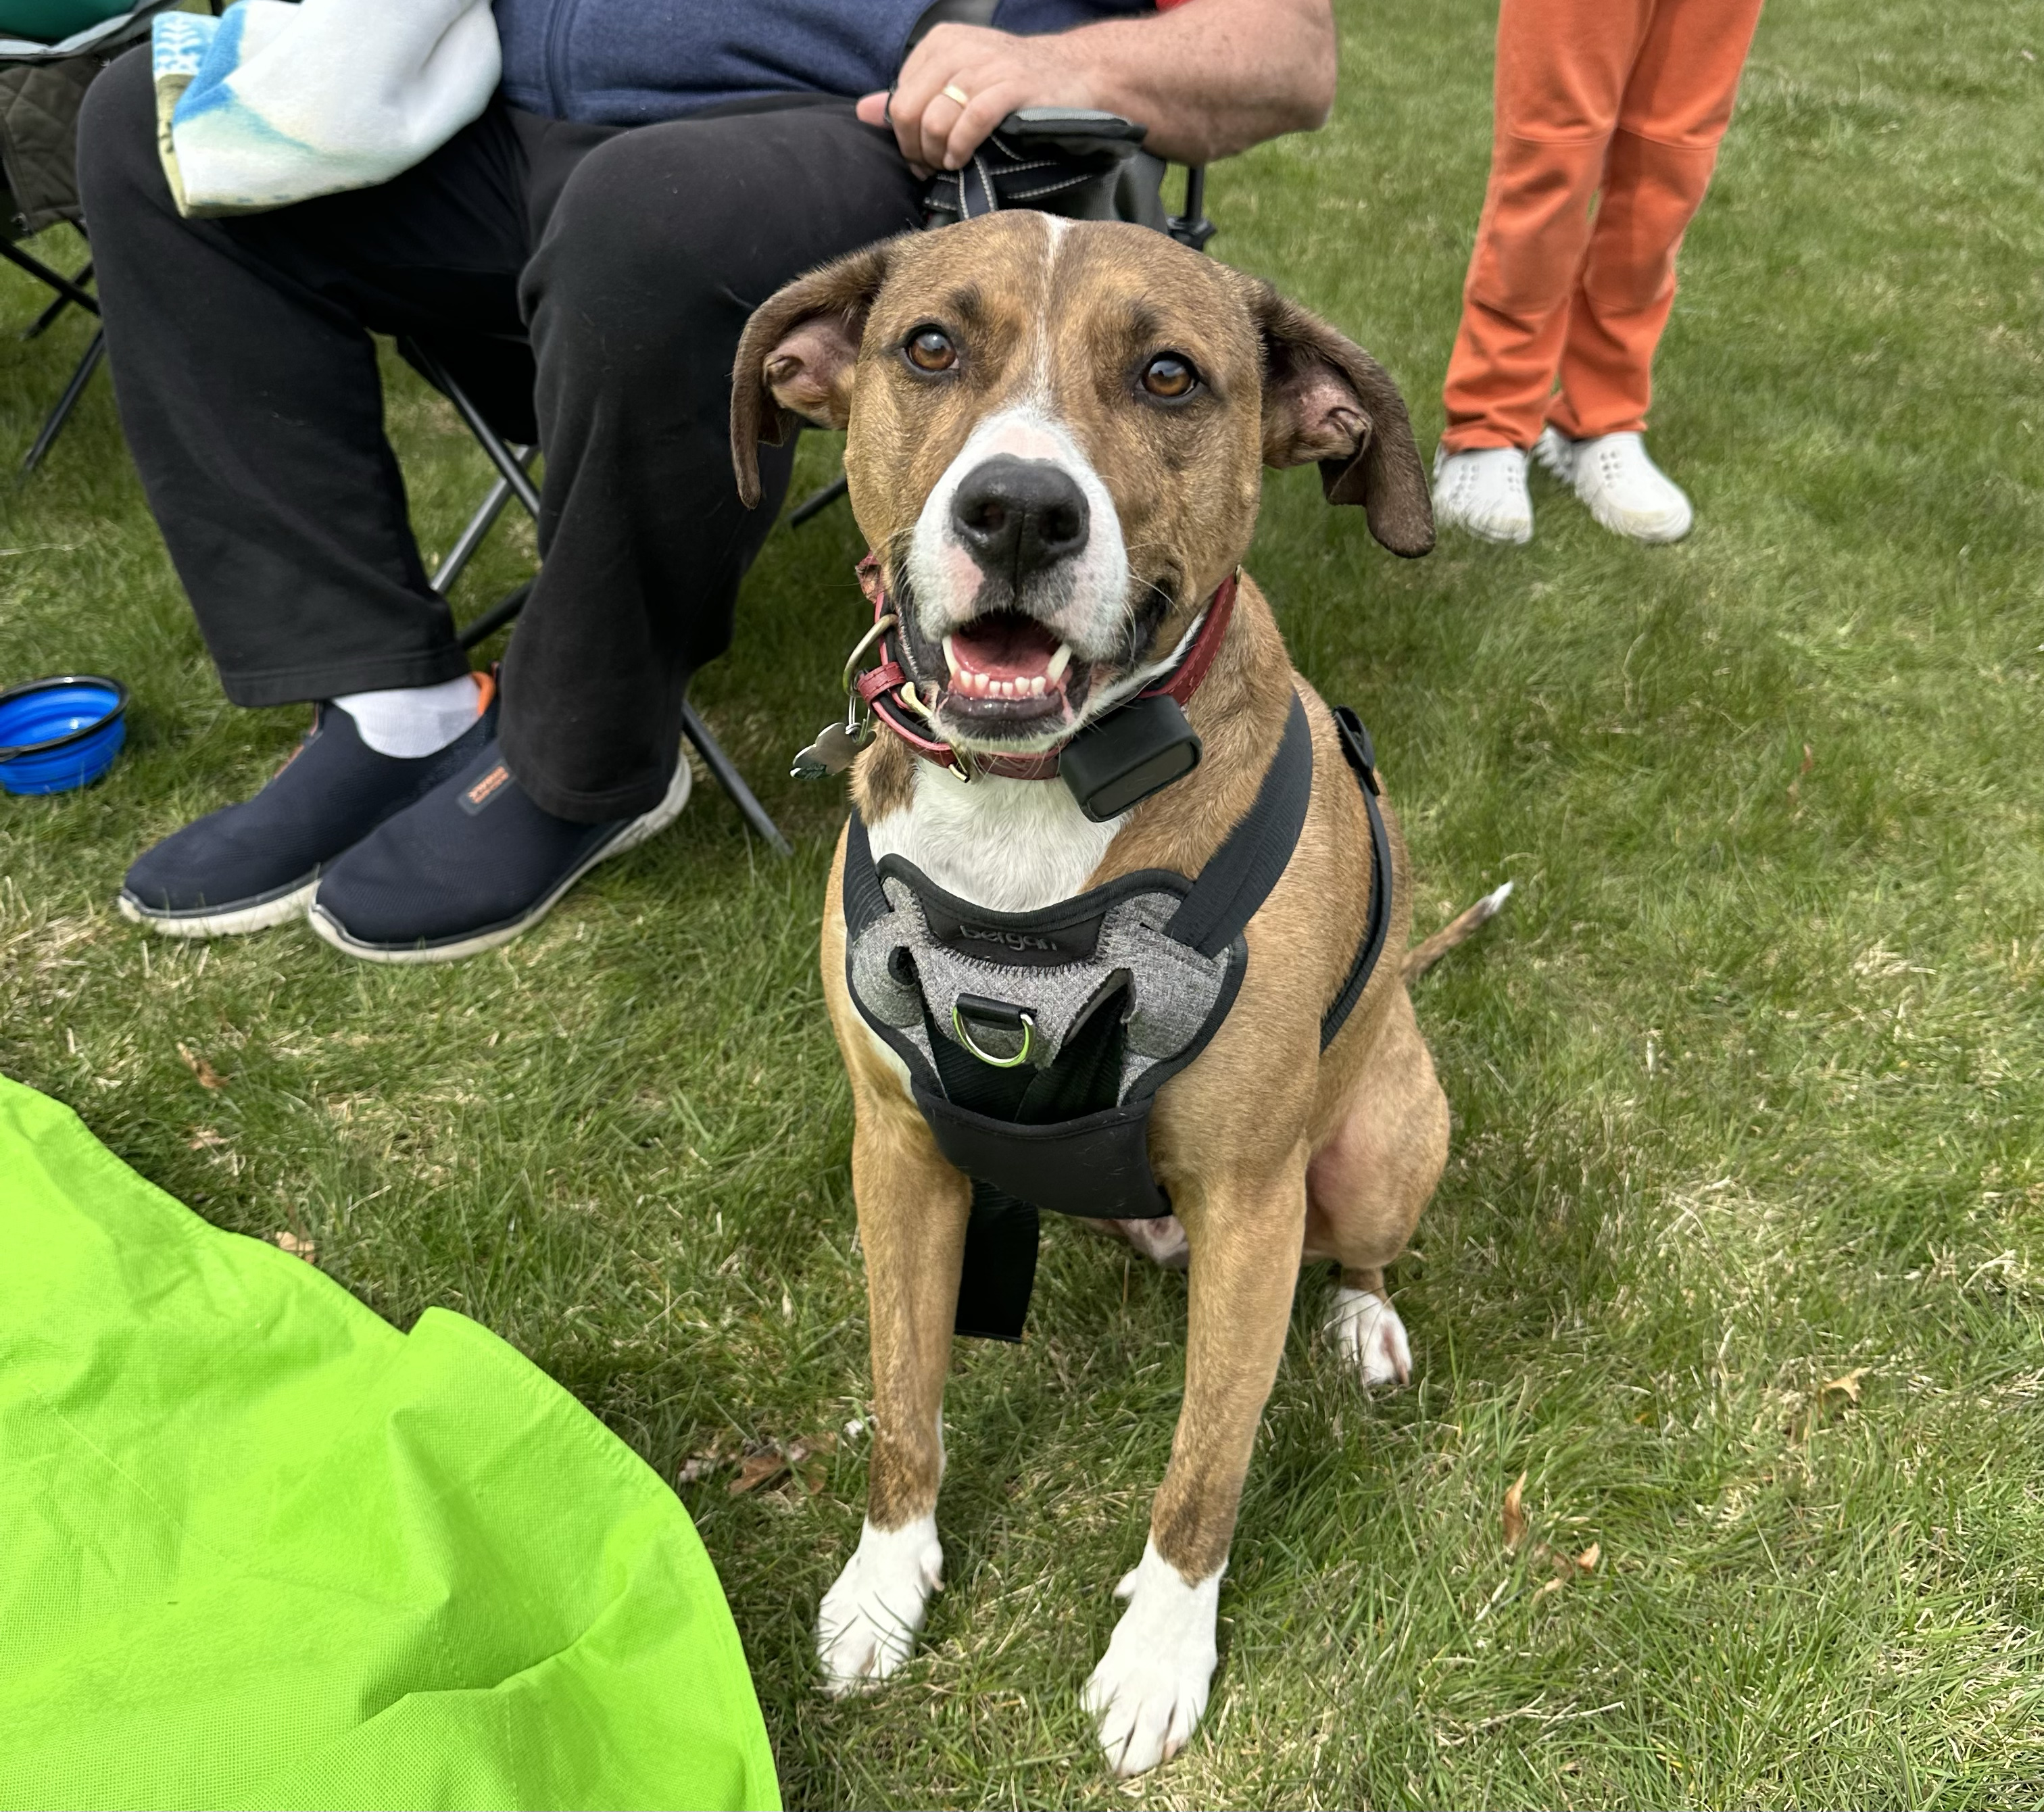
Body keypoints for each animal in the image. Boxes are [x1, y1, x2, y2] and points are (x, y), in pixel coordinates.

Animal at [735, 209, 1504, 1773]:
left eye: (1167, 375)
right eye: (928, 346)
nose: (1019, 512)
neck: (1038, 796)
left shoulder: (1252, 1201)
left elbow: (1204, 1466)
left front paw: (1160, 1653)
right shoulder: (895, 1153)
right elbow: (904, 1402)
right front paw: (883, 1585)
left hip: (1373, 1148)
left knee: (1359, 1250)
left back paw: (1364, 1320)